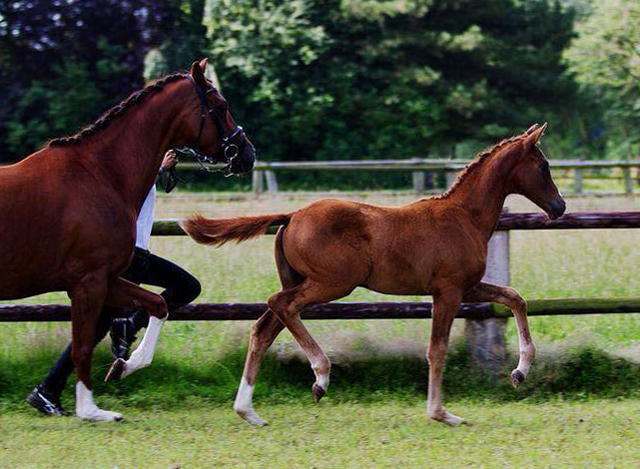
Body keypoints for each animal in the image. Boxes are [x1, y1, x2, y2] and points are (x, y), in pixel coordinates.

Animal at [0, 58, 255, 420]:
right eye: (221, 106)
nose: (248, 154)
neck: (100, 175)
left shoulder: (104, 279)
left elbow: (158, 305)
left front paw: (124, 365)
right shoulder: (89, 282)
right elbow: (82, 347)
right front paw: (91, 411)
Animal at [184, 122, 564, 426]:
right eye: (544, 166)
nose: (559, 206)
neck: (463, 216)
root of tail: (292, 216)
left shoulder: (468, 288)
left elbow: (515, 298)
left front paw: (519, 372)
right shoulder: (448, 291)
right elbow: (437, 349)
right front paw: (441, 413)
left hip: (304, 281)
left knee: (264, 328)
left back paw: (248, 411)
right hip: (333, 283)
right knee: (282, 304)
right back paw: (320, 376)